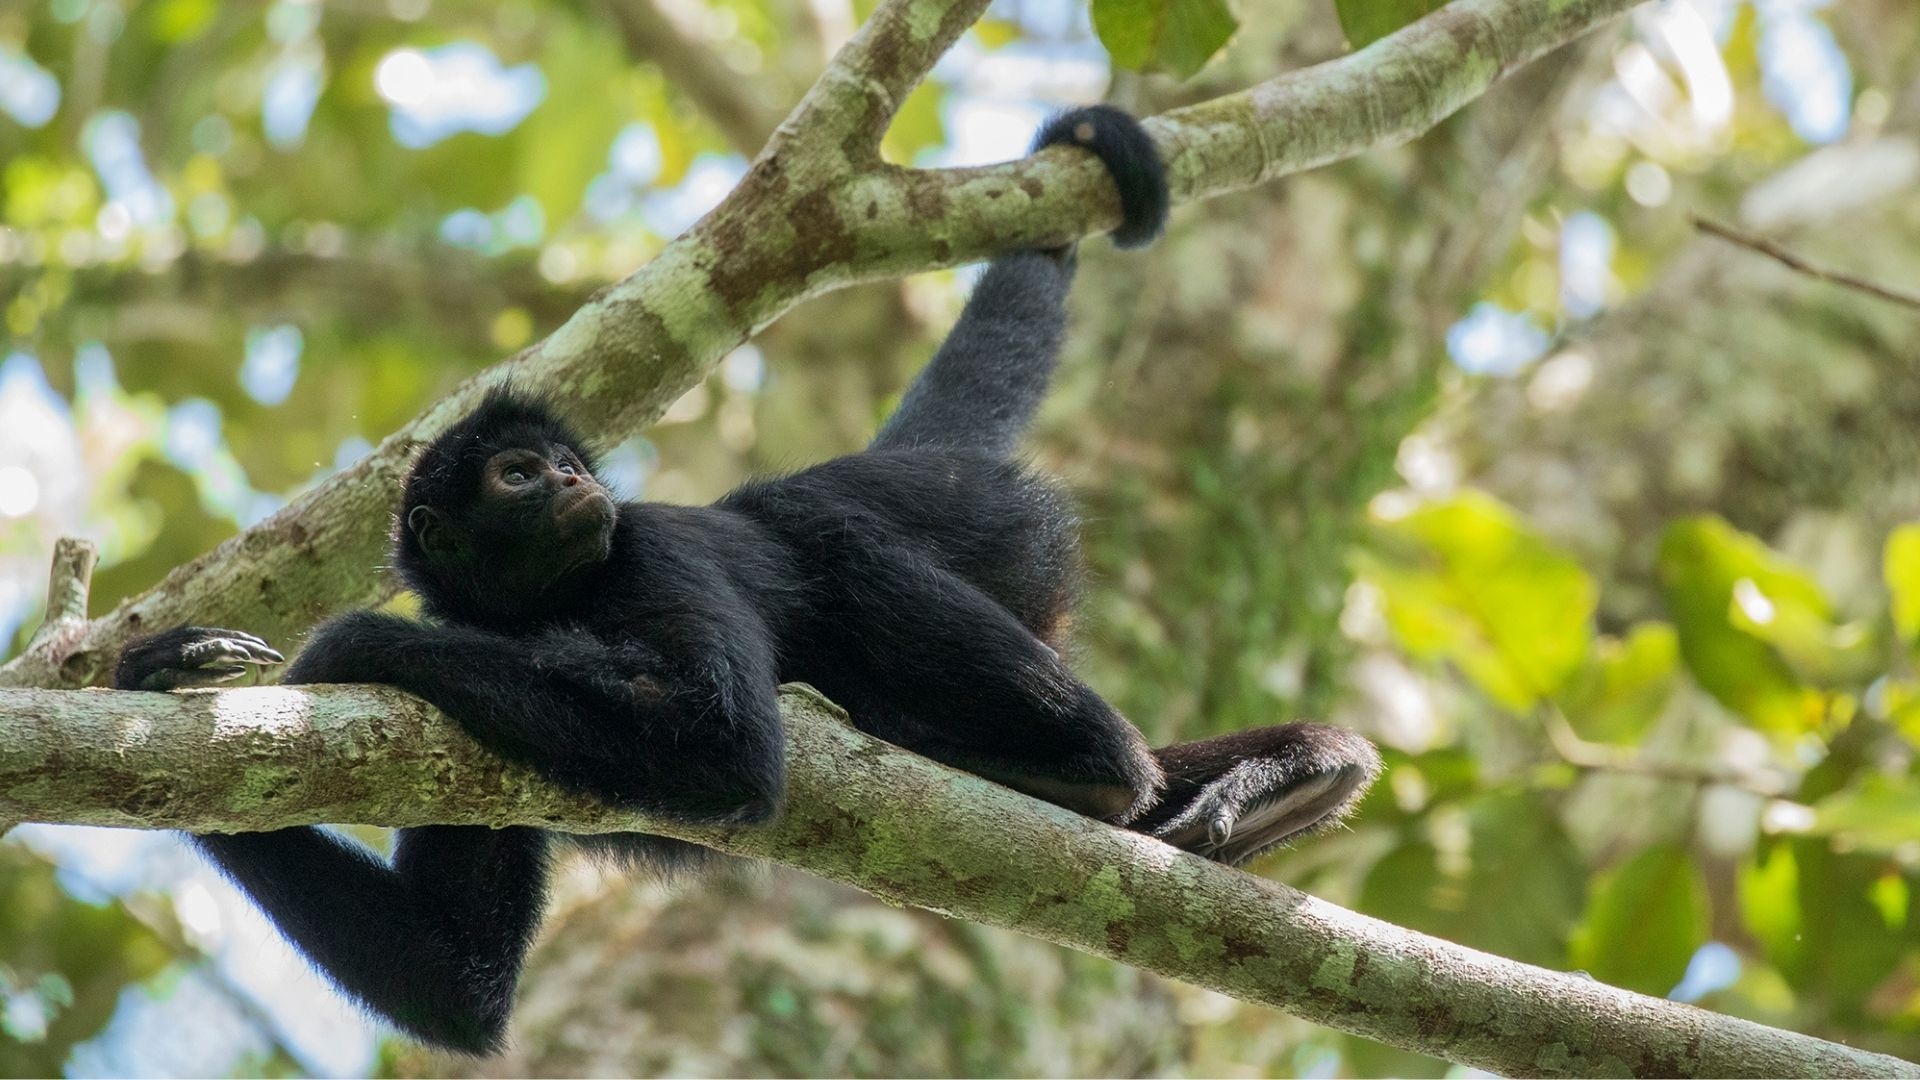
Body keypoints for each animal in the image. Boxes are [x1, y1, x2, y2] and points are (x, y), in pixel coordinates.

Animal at [116, 109, 1382, 1053]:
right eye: (520, 474)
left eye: (569, 466)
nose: (573, 478)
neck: (545, 602)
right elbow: (454, 981)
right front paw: (161, 673)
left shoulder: (644, 545)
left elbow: (726, 744)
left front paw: (355, 645)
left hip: (976, 524)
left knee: (826, 542)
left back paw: (1103, 769)